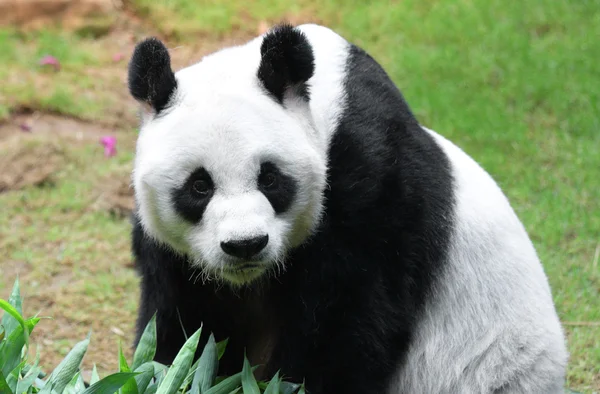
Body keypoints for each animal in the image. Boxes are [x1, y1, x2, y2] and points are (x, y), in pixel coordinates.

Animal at [126, 23, 568, 392]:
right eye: (199, 186)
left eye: (269, 178)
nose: (245, 244)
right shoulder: (175, 257)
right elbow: (181, 326)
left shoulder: (373, 190)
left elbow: (347, 327)